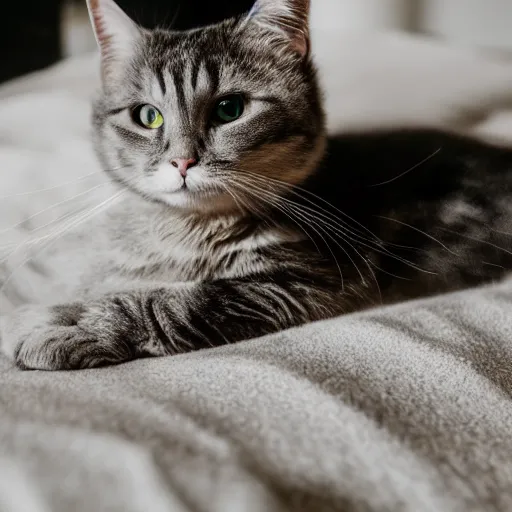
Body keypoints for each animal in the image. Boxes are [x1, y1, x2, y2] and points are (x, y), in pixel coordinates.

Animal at [1, 0, 512, 370]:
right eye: (147, 116)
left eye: (230, 109)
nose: (182, 160)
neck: (188, 233)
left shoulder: (304, 282)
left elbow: (170, 303)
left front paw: (71, 322)